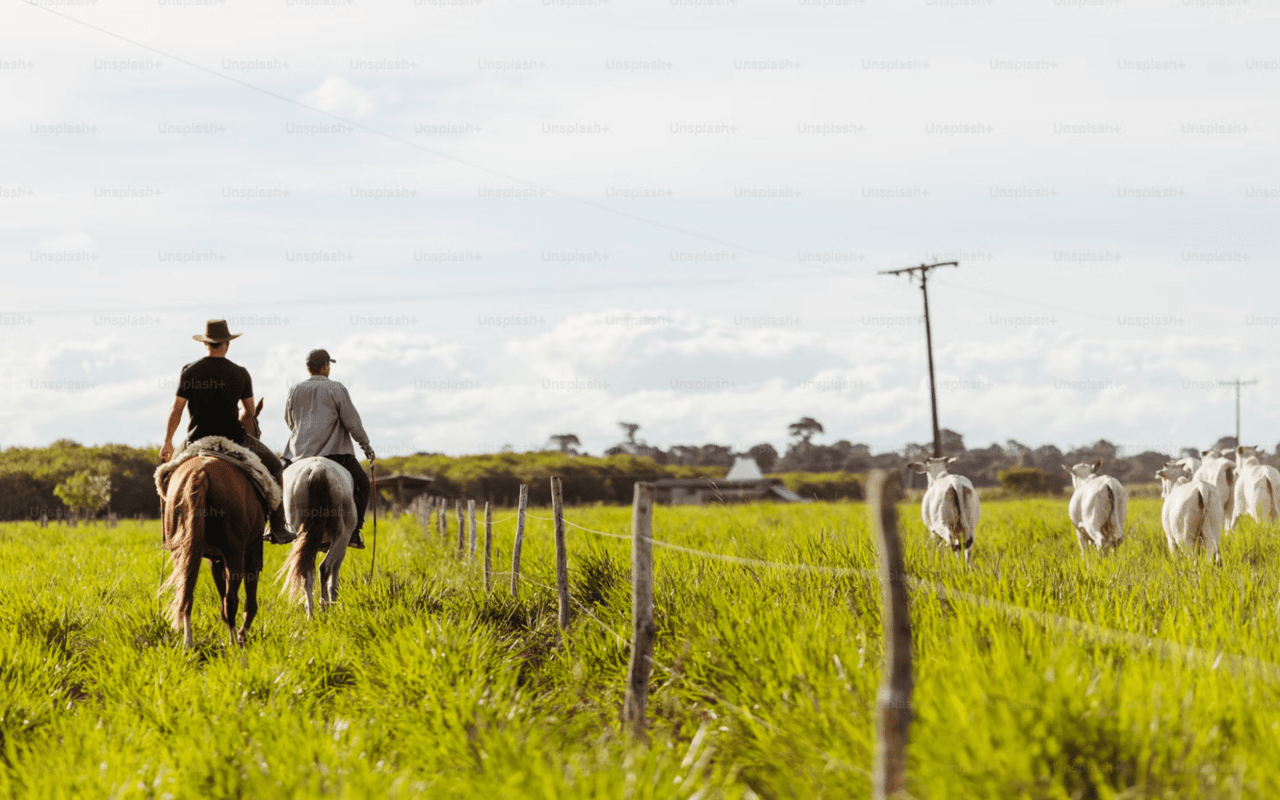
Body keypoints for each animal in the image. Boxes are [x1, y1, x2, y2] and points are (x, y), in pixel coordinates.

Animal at [162, 396, 267, 645]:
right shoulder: (252, 549)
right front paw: (242, 634)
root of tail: (200, 472)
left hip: (185, 550)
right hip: (235, 552)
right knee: (231, 601)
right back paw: (233, 642)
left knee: (186, 591)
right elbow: (248, 597)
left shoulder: (214, 558)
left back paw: (188, 642)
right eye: (258, 428)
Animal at [277, 455, 358, 616]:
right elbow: (334, 580)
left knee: (306, 572)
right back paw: (325, 608)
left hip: (300, 535)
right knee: (325, 568)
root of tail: (317, 469)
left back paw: (312, 614)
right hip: (342, 536)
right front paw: (333, 605)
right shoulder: (342, 548)